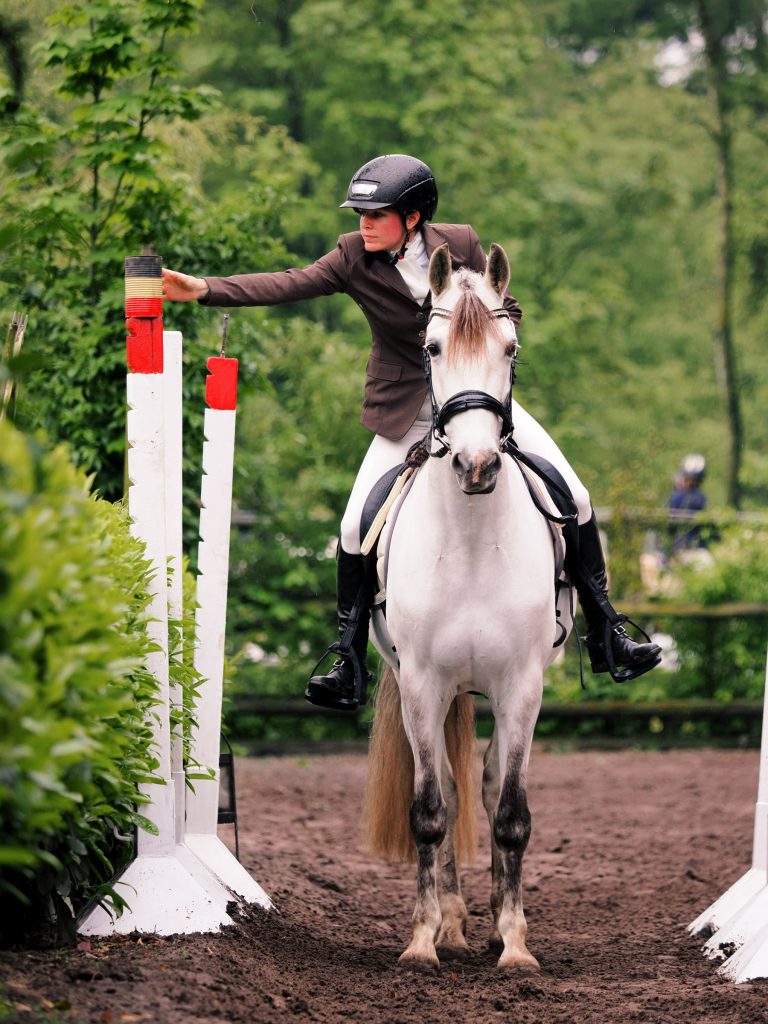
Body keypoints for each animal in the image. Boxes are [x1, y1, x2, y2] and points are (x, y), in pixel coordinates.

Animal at [362, 239, 573, 966]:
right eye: (430, 347)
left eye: (510, 348)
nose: (477, 466)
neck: (476, 541)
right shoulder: (423, 684)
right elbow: (430, 812)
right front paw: (424, 941)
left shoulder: (523, 686)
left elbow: (510, 815)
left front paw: (514, 944)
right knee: (452, 795)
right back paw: (451, 922)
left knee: (484, 784)